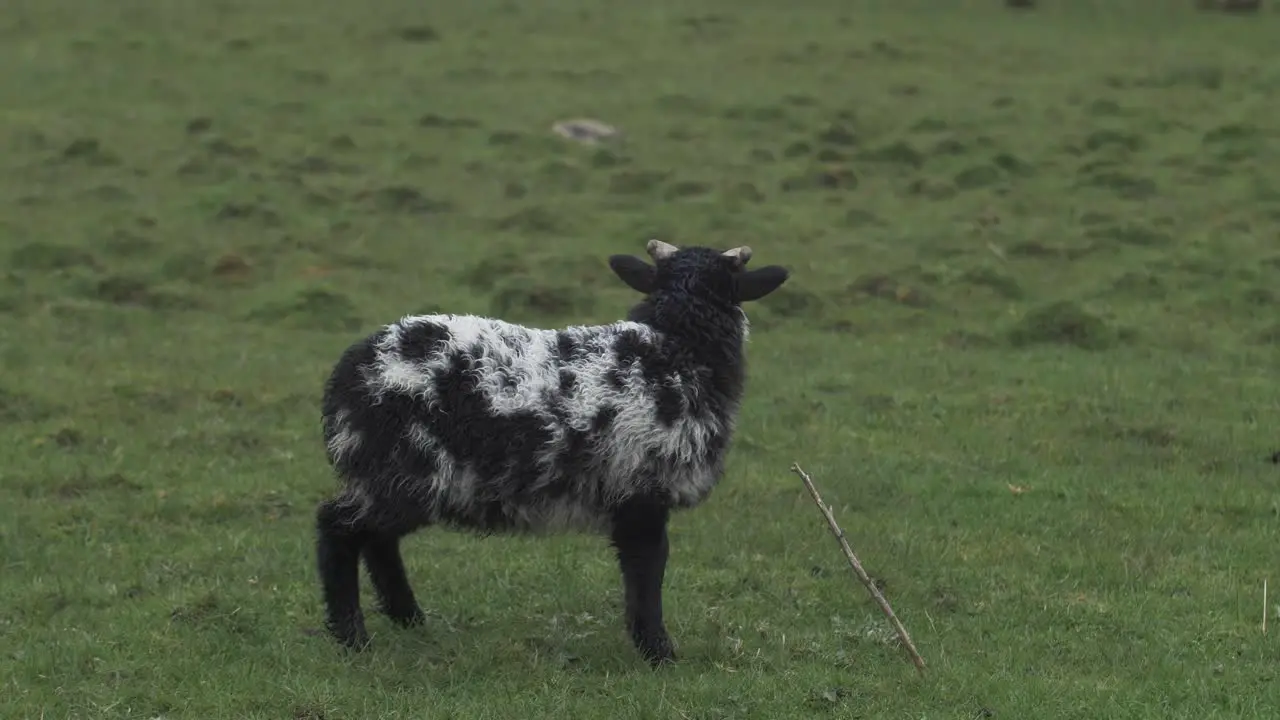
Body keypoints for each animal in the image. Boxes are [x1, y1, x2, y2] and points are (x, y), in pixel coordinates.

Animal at [313, 238, 788, 666]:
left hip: (396, 477)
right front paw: (659, 652)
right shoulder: (641, 491)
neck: (673, 352)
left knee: (378, 541)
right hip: (406, 469)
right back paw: (353, 638)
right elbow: (647, 570)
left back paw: (408, 619)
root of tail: (347, 375)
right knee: (338, 528)